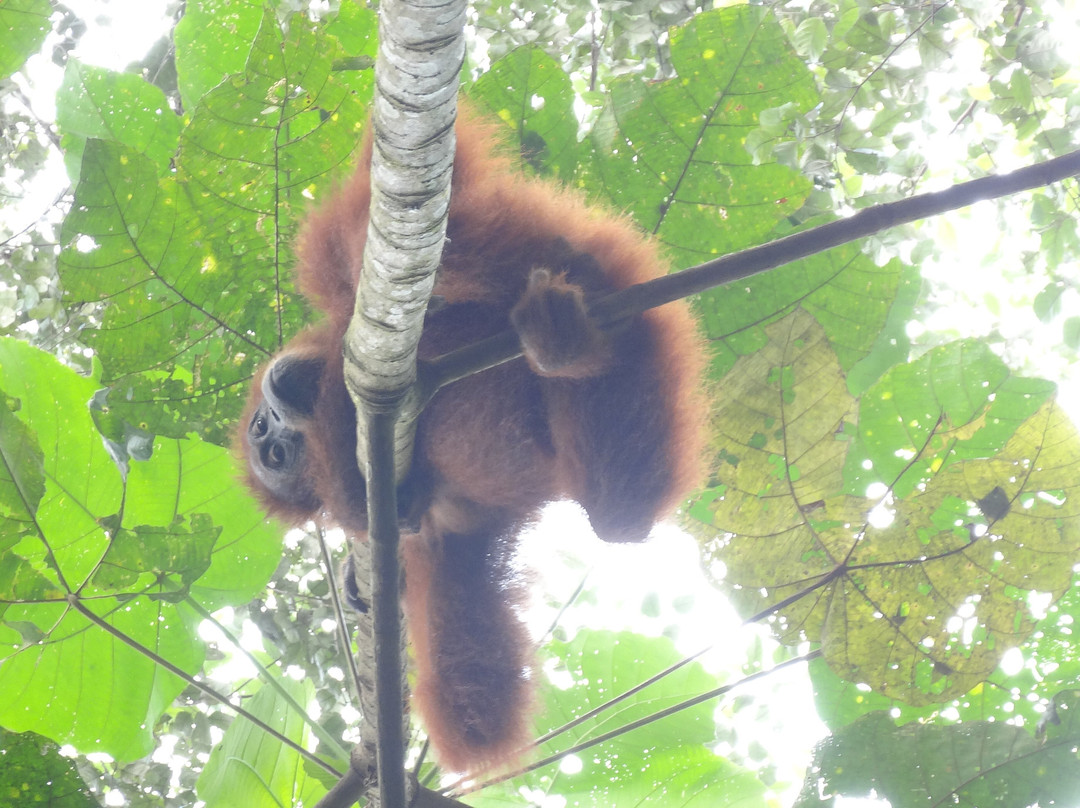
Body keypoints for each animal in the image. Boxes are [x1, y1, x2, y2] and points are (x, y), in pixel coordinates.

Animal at [238, 105, 705, 773]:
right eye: (273, 451)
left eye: (263, 435)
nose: (274, 417)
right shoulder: (434, 537)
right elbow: (475, 702)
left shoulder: (335, 306)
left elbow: (361, 223)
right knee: (619, 517)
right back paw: (569, 345)